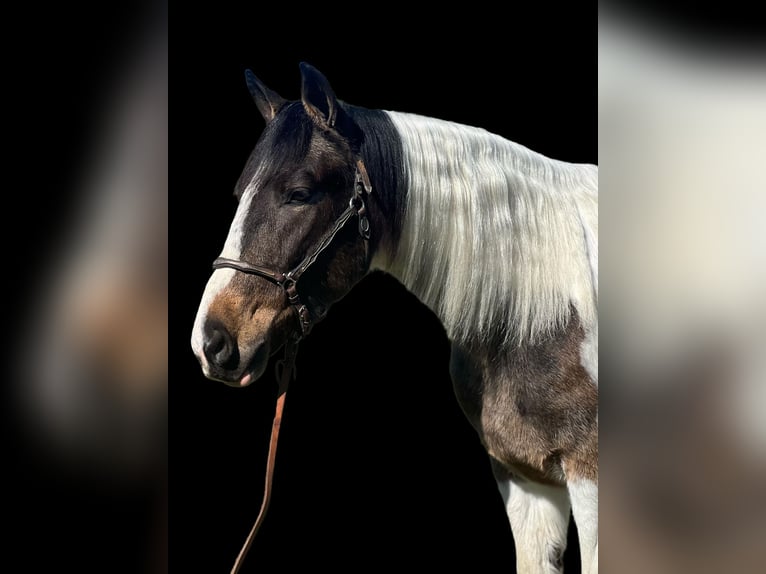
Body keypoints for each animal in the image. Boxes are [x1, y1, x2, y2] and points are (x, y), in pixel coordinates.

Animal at [192, 63, 600, 574]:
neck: (544, 312)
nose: (211, 341)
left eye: (300, 193)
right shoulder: (526, 479)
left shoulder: (590, 480)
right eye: (239, 193)